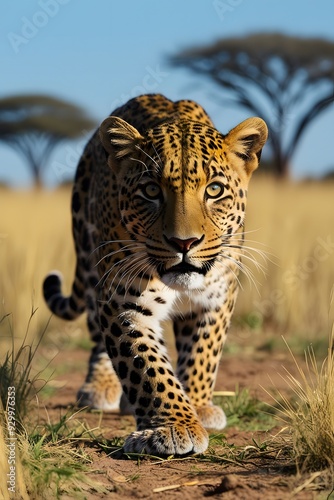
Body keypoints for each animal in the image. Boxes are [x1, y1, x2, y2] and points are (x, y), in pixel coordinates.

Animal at [43, 94, 268, 458]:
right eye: (150, 190)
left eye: (214, 190)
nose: (184, 243)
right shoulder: (124, 301)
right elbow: (147, 367)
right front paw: (175, 426)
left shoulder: (217, 297)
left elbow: (203, 353)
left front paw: (198, 406)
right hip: (90, 264)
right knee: (98, 336)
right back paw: (100, 386)